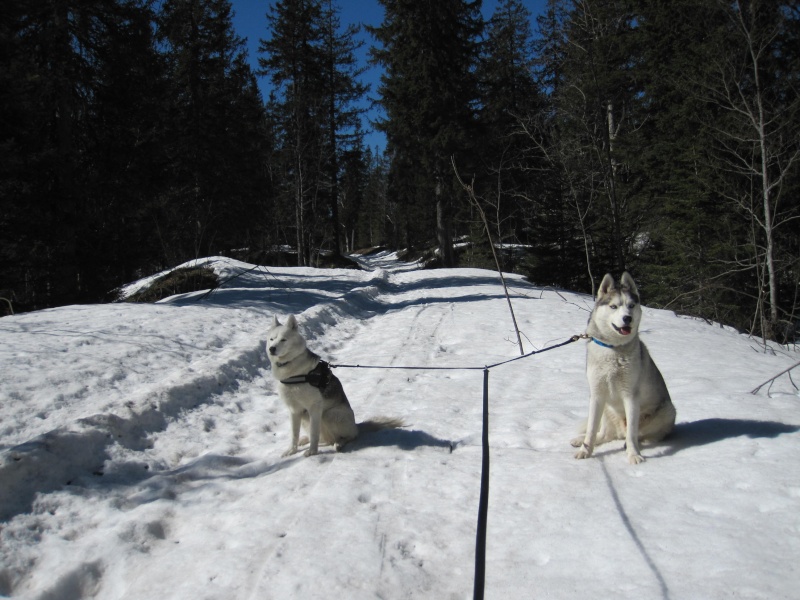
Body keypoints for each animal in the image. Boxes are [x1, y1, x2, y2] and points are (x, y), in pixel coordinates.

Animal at [268, 316, 406, 458]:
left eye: (283, 339)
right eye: (272, 339)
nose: (271, 349)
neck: (294, 372)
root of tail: (356, 426)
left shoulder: (314, 408)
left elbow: (314, 433)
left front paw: (312, 452)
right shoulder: (294, 411)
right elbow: (294, 435)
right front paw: (292, 450)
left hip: (329, 415)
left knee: (347, 437)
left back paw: (339, 443)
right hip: (307, 419)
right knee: (324, 438)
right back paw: (305, 439)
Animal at [572, 272, 680, 464]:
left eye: (631, 306)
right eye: (614, 306)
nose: (627, 318)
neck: (613, 349)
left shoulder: (630, 396)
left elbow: (632, 434)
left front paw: (634, 455)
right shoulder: (597, 395)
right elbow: (591, 429)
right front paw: (585, 451)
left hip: (667, 410)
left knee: (644, 436)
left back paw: (638, 443)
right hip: (607, 409)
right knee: (605, 434)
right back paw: (581, 441)